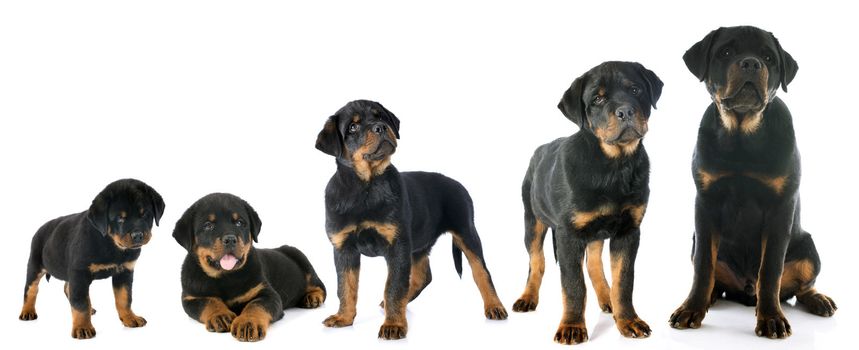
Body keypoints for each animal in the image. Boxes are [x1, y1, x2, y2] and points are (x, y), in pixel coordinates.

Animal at [18, 178, 165, 340]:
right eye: (120, 218)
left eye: (145, 214)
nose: (138, 235)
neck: (110, 242)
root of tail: (39, 229)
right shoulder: (79, 273)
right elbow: (81, 303)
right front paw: (82, 328)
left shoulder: (124, 272)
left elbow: (124, 298)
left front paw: (129, 318)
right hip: (35, 264)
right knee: (30, 289)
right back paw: (27, 312)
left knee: (67, 288)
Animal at [173, 191, 328, 342]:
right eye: (208, 225)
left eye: (240, 223)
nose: (230, 239)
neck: (226, 276)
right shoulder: (190, 298)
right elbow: (208, 301)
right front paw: (220, 315)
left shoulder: (268, 294)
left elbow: (255, 305)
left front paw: (248, 323)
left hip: (302, 260)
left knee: (320, 286)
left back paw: (312, 297)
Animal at [314, 100, 504, 340]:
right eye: (353, 127)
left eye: (381, 117)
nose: (380, 127)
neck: (365, 187)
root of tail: (457, 184)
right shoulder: (344, 248)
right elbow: (346, 287)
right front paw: (343, 318)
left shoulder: (397, 245)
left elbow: (393, 286)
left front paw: (393, 325)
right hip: (419, 243)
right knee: (423, 276)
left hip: (466, 230)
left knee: (481, 272)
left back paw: (495, 307)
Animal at [510, 60, 664, 344]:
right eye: (598, 99)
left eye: (635, 89)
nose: (625, 111)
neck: (614, 166)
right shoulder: (569, 234)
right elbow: (573, 285)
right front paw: (572, 327)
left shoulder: (628, 231)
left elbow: (624, 280)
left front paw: (628, 320)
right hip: (532, 219)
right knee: (536, 261)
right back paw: (527, 298)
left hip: (594, 232)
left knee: (593, 264)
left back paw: (607, 299)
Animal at [672, 25, 840, 340]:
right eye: (726, 52)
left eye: (768, 57)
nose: (751, 63)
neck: (742, 135)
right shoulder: (706, 204)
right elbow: (703, 266)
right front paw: (691, 309)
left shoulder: (780, 208)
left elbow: (770, 271)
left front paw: (772, 318)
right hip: (697, 241)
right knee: (715, 277)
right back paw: (711, 297)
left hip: (809, 248)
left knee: (800, 286)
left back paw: (818, 300)